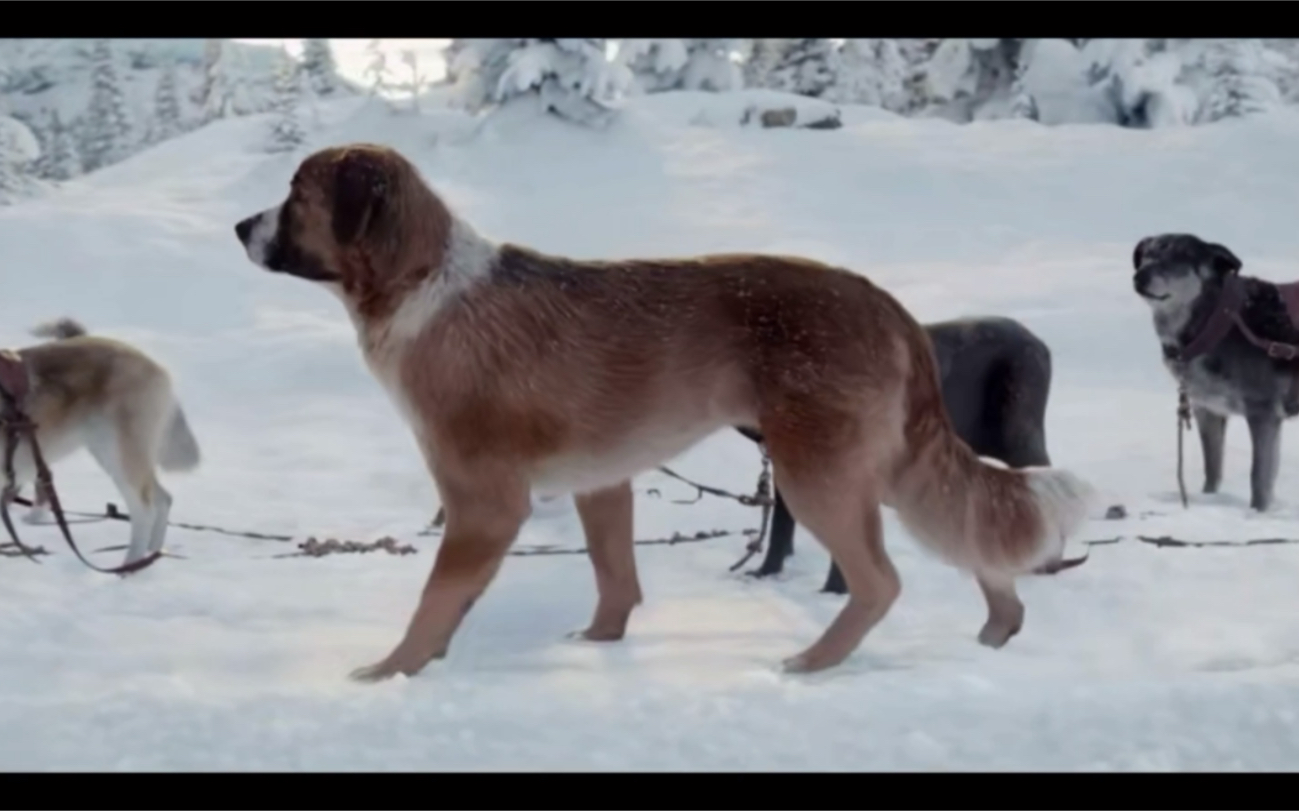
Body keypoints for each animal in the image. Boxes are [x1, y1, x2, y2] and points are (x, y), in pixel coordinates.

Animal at [3, 317, 200, 564]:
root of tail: (156, 366)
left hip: (122, 456)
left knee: (144, 510)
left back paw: (130, 564)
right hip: (109, 454)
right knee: (163, 499)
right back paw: (151, 553)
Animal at [1132, 231, 1299, 509]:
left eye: (1179, 258)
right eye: (1146, 256)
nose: (1139, 277)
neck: (1217, 323)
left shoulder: (1263, 412)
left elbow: (1259, 478)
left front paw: (1257, 512)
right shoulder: (1207, 409)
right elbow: (1213, 468)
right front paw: (1210, 499)